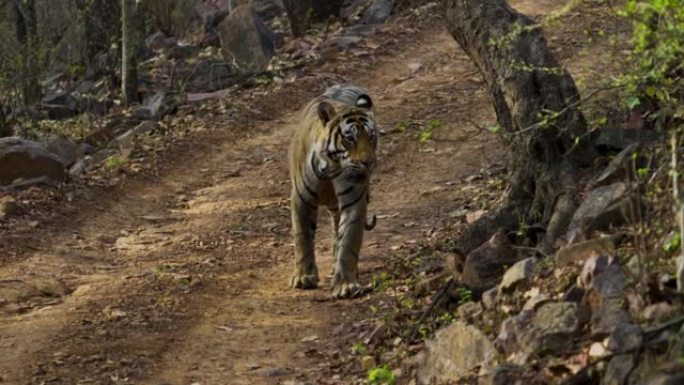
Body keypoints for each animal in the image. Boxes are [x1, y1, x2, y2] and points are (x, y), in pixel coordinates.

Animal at [286, 85, 376, 296]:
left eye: (371, 136)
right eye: (349, 138)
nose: (368, 162)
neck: (331, 169)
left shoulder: (354, 200)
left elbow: (349, 240)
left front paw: (346, 284)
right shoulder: (301, 199)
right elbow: (303, 237)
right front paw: (303, 276)